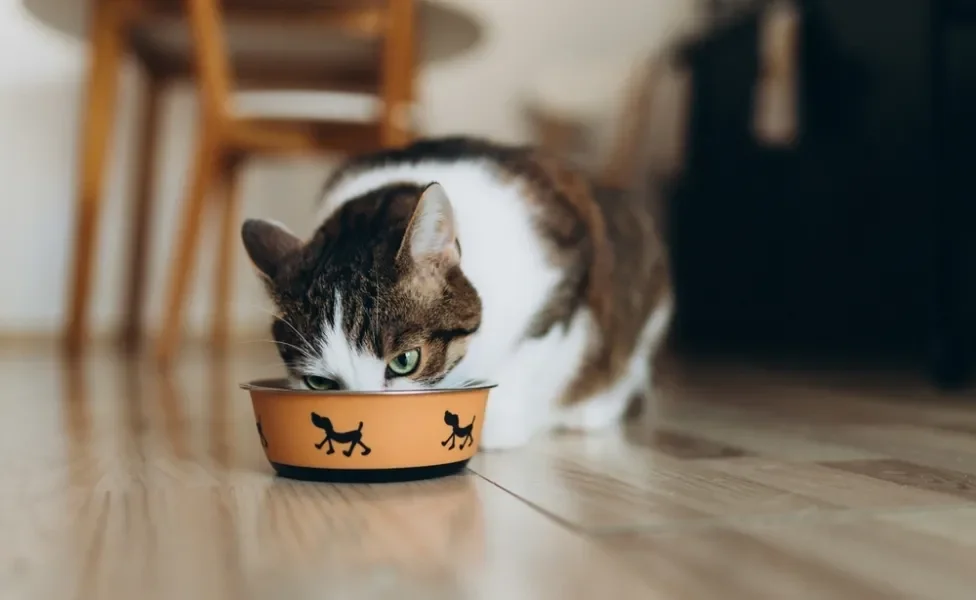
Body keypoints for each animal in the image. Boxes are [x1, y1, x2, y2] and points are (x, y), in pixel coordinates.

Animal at [243, 136, 672, 450]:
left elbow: (529, 367)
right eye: (320, 384)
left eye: (405, 361)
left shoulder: (563, 290)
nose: (367, 415)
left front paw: (500, 428)